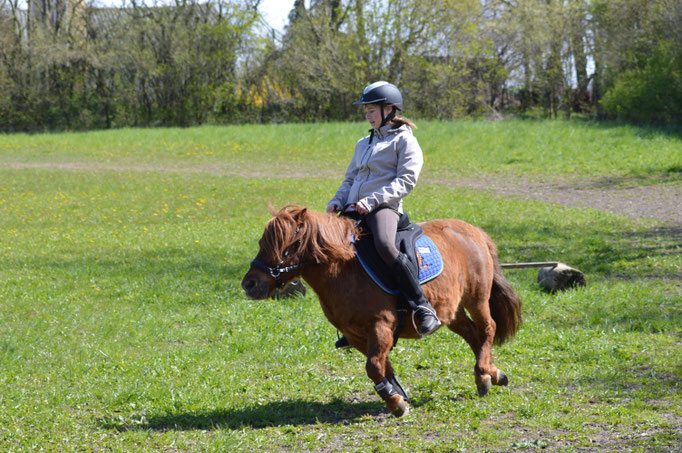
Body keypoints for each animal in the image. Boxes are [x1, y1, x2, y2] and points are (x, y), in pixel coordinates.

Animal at [242, 205, 524, 416]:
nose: (249, 284)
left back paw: (485, 373)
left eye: (287, 245)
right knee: (473, 335)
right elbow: (383, 367)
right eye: (261, 242)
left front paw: (396, 403)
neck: (343, 270)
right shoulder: (356, 334)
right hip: (451, 312)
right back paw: (490, 375)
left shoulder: (381, 325)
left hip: (477, 298)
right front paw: (398, 397)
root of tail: (474, 231)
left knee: (487, 329)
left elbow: (374, 366)